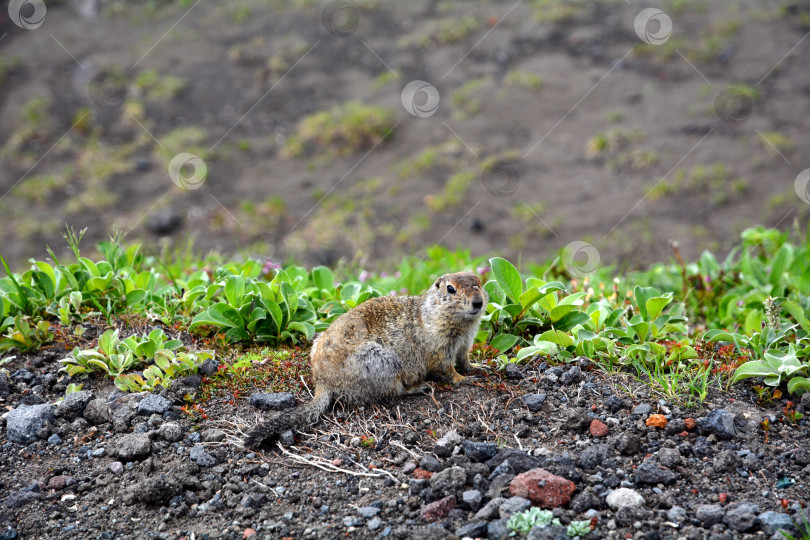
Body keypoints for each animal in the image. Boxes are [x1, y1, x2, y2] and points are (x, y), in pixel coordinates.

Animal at [243, 270, 486, 448]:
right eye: (450, 289)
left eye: (479, 282)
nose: (478, 303)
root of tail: (323, 382)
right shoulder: (439, 345)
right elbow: (445, 367)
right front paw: (462, 379)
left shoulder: (465, 342)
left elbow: (464, 358)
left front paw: (477, 367)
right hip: (382, 363)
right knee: (393, 391)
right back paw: (418, 387)